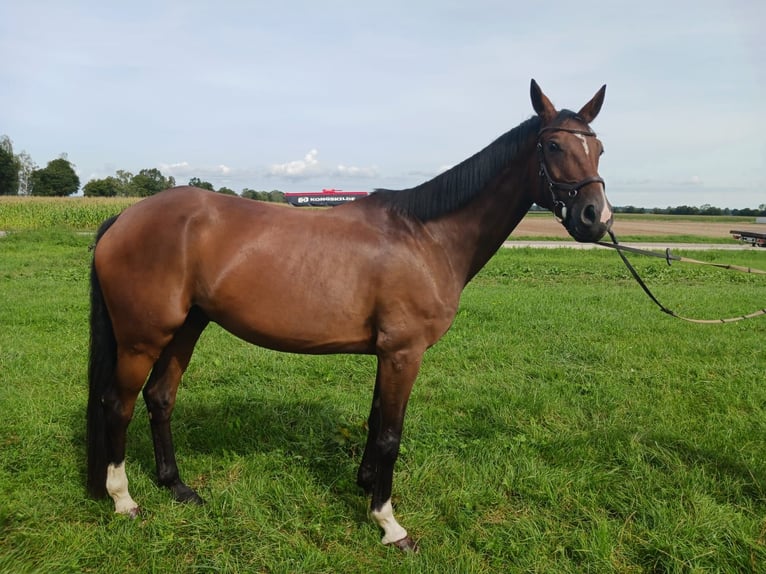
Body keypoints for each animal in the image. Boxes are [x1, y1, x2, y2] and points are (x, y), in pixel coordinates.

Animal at [87, 79, 616, 552]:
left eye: (599, 148)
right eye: (553, 145)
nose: (597, 217)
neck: (426, 236)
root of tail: (125, 217)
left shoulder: (388, 354)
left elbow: (375, 422)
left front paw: (365, 486)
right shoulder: (404, 353)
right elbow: (390, 434)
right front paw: (390, 524)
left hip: (186, 327)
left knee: (160, 398)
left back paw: (177, 487)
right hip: (141, 338)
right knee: (118, 404)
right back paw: (124, 500)